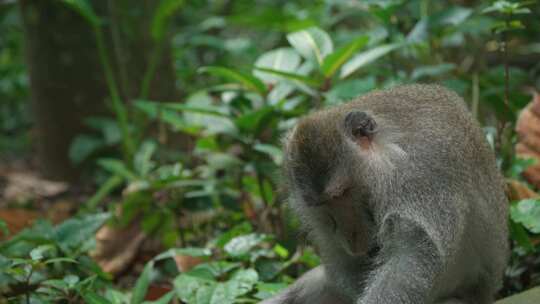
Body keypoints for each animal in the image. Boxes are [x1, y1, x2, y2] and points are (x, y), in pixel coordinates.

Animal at [262, 84, 510, 304]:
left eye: (342, 193)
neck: (389, 150)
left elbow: (411, 254)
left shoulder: (419, 178)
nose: (350, 237)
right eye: (324, 205)